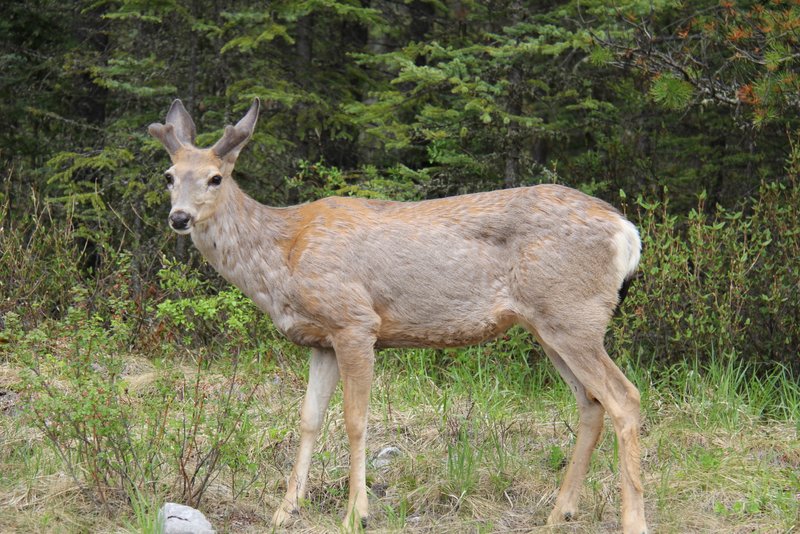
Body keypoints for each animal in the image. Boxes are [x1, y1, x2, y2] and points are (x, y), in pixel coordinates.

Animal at [148, 98, 648, 534]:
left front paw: (356, 513)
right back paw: (558, 513)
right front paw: (284, 511)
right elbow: (309, 418)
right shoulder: (320, 341)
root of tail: (627, 231)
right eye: (170, 175)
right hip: (549, 325)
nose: (179, 218)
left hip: (572, 315)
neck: (284, 254)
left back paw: (632, 520)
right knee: (591, 403)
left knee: (625, 397)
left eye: (215, 178)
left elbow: (355, 419)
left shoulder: (355, 321)